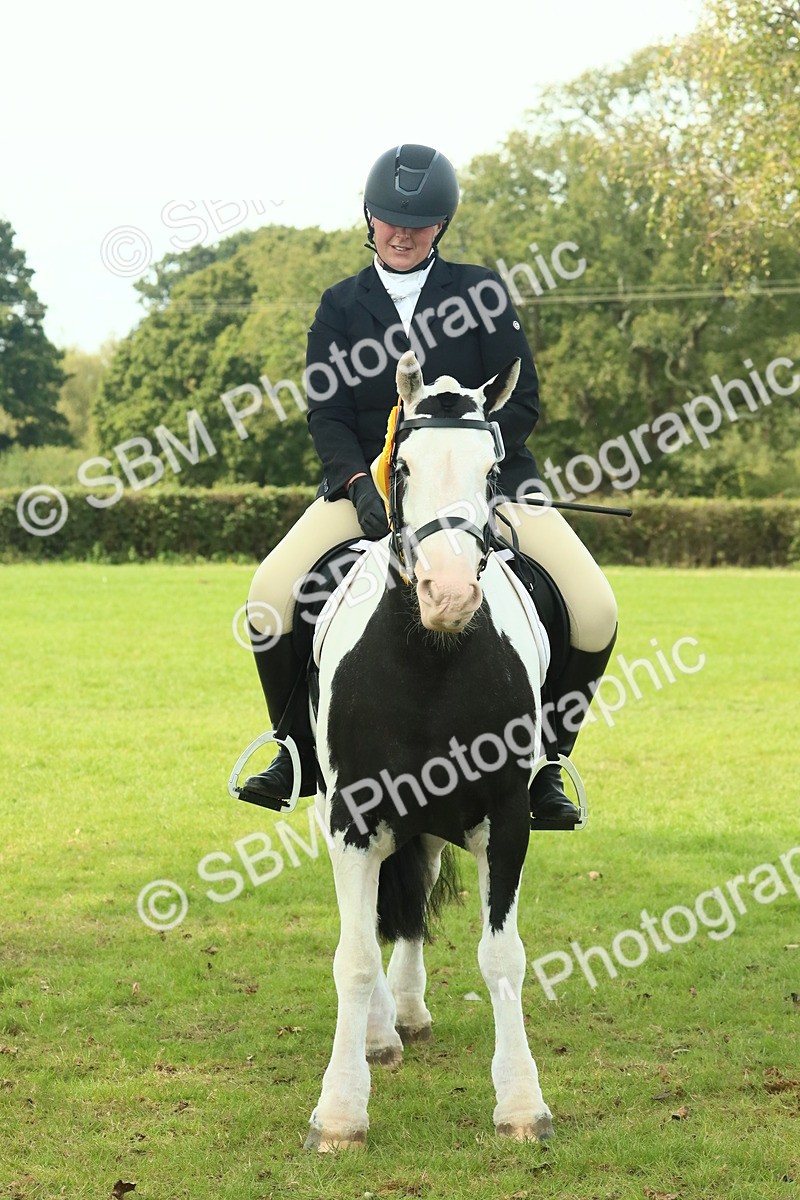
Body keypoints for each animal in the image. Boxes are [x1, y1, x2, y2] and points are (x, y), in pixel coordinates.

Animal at [305, 349, 556, 1151]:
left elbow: (502, 954)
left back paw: (408, 1013)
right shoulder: (353, 816)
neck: (429, 659)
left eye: (492, 470)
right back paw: (381, 1032)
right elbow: (354, 957)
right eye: (405, 467)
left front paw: (521, 1104)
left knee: (414, 895)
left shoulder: (505, 817)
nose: (447, 594)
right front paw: (341, 1112)